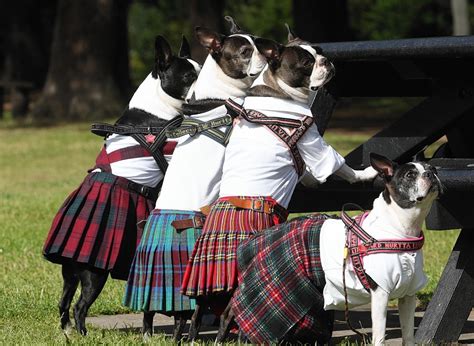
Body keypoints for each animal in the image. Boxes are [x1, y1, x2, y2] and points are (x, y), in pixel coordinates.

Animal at [42, 35, 200, 336]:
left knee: (64, 300)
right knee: (80, 305)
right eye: (189, 76)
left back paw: (67, 331)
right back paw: (83, 334)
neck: (155, 110)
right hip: (94, 273)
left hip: (69, 272)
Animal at [231, 153, 442, 344]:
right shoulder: (381, 292)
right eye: (410, 175)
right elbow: (380, 335)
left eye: (432, 168)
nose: (431, 173)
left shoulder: (409, 294)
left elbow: (408, 334)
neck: (399, 228)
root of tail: (262, 234)